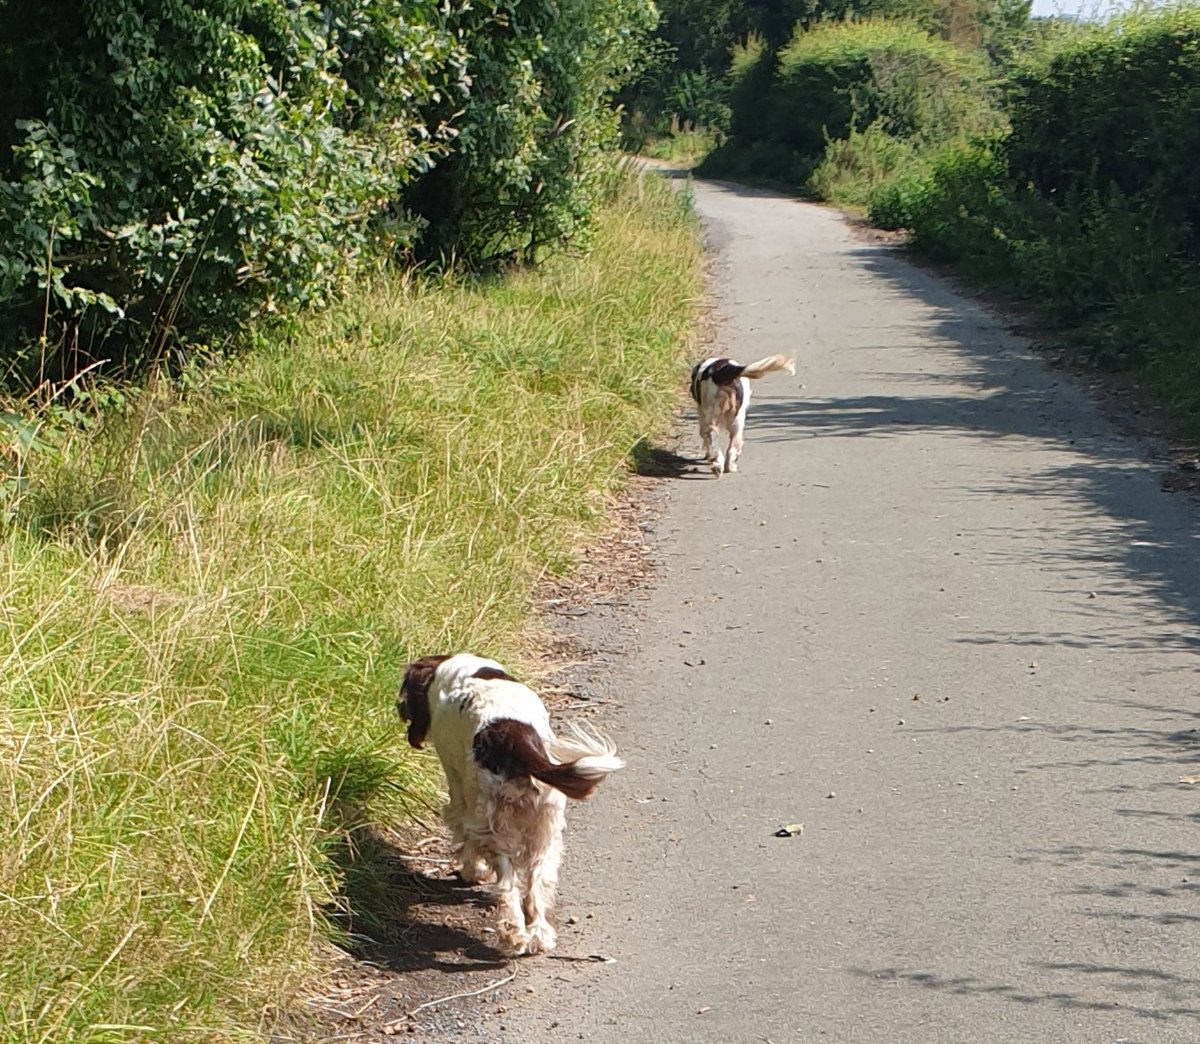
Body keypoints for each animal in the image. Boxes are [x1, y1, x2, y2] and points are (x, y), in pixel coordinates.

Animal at [398, 652, 624, 955]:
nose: (399, 708)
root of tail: (517, 741)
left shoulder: (458, 792)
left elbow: (463, 838)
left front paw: (472, 873)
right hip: (545, 830)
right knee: (538, 884)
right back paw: (539, 937)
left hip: (494, 824)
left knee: (507, 886)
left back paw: (514, 934)